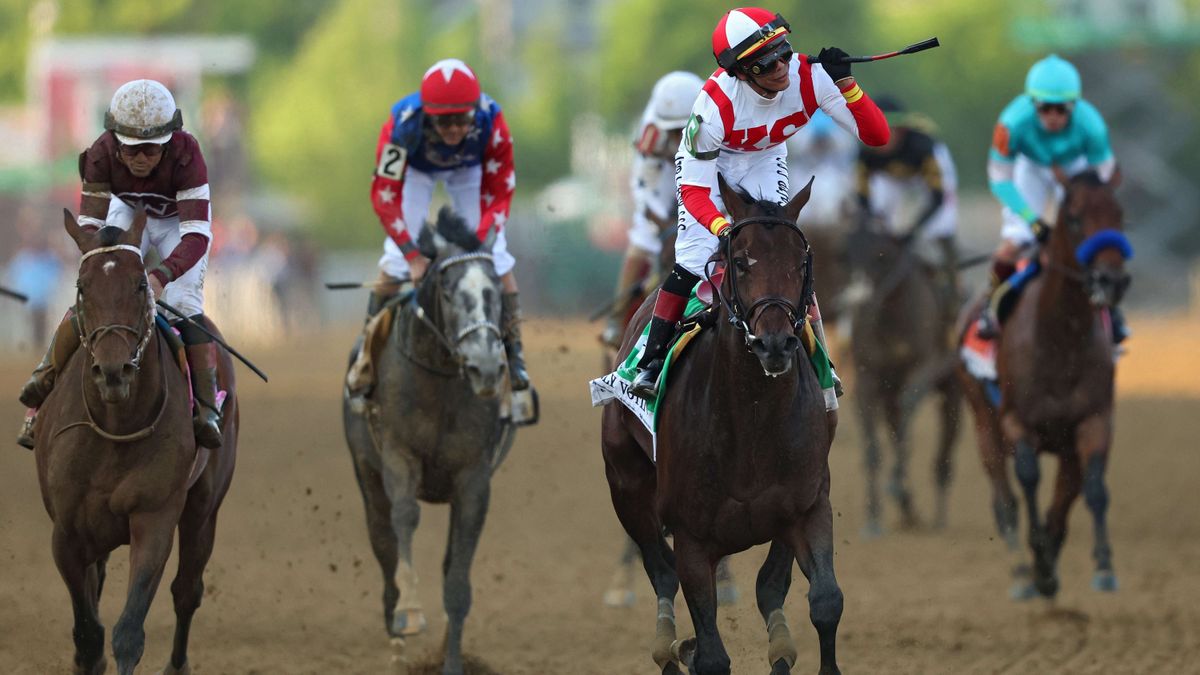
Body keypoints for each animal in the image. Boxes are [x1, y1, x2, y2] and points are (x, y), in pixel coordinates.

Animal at [35, 207, 238, 667]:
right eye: (82, 287)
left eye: (142, 284)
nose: (114, 371)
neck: (116, 425)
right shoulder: (67, 533)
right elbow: (88, 633)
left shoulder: (154, 517)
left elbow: (128, 631)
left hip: (205, 505)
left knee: (187, 591)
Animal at [345, 207, 518, 672]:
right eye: (448, 288)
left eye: (496, 290)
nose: (484, 366)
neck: (440, 379)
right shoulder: (397, 456)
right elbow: (404, 519)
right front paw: (409, 613)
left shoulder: (473, 479)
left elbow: (457, 581)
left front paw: (451, 661)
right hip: (366, 476)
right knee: (384, 545)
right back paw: (397, 642)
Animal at [600, 176, 844, 667]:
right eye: (740, 261)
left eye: (800, 262)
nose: (774, 343)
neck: (753, 421)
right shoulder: (693, 538)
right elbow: (711, 653)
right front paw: (689, 646)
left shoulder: (808, 507)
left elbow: (823, 601)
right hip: (626, 486)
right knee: (661, 574)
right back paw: (668, 642)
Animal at [844, 222, 964, 535]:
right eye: (843, 254)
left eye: (881, 256)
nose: (859, 300)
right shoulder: (867, 380)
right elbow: (873, 449)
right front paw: (873, 518)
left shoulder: (925, 366)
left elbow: (909, 403)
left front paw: (896, 483)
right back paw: (909, 509)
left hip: (953, 388)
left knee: (945, 448)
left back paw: (939, 518)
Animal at [960, 170, 1128, 595]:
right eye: (1074, 218)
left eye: (1120, 213)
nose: (1112, 280)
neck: (1061, 338)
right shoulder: (1017, 423)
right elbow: (1028, 479)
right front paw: (1037, 559)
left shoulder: (1093, 421)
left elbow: (1093, 489)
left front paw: (1102, 565)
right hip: (983, 423)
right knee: (1004, 499)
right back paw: (1023, 571)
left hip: (1065, 444)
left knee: (1064, 495)